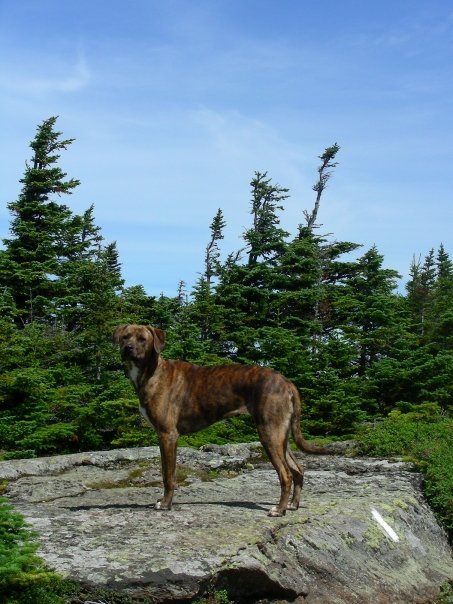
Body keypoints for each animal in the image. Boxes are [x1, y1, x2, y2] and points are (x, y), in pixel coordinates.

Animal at [111, 324, 326, 516]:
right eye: (125, 337)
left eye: (142, 339)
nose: (128, 348)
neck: (151, 371)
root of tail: (288, 383)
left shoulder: (167, 435)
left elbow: (168, 476)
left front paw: (165, 504)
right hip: (281, 436)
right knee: (298, 469)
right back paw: (293, 505)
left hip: (269, 434)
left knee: (286, 474)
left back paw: (279, 510)